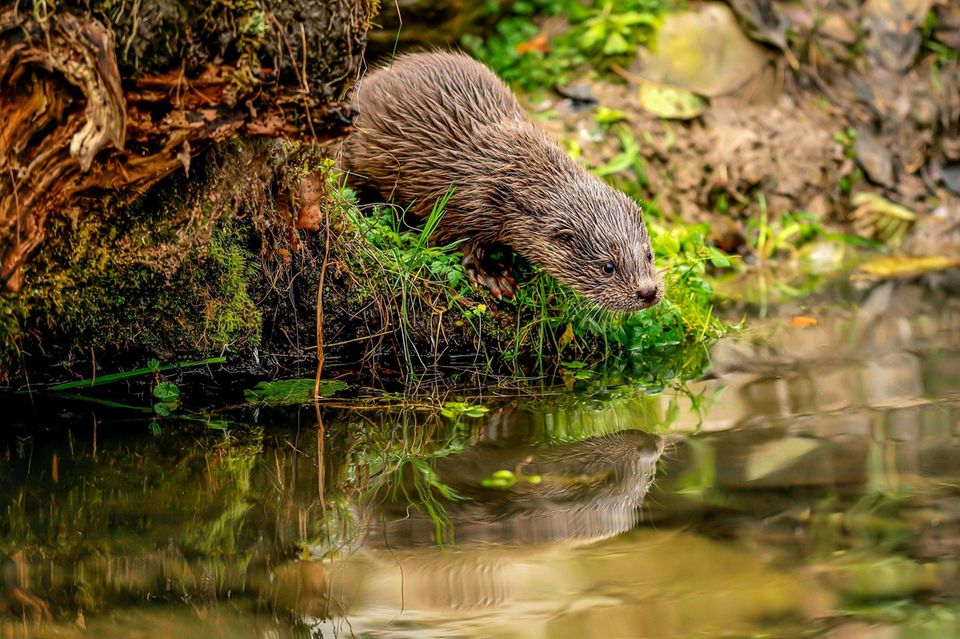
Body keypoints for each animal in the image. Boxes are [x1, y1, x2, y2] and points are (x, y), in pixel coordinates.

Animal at [342, 50, 664, 312]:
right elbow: (458, 244)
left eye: (648, 254)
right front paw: (493, 276)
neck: (510, 180)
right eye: (608, 267)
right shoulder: (460, 206)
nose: (648, 292)